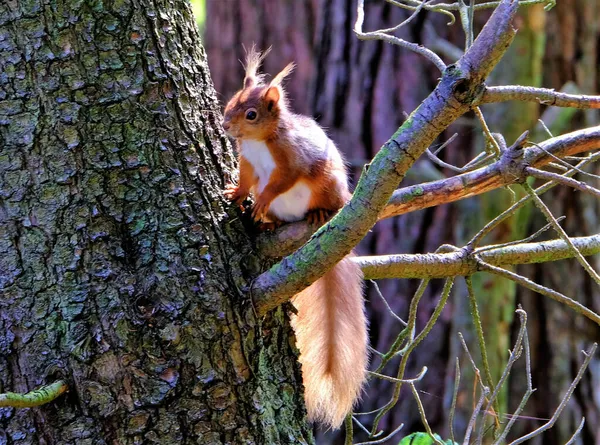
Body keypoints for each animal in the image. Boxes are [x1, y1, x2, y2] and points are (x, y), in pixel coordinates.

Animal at [223, 47, 368, 426]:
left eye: (252, 114)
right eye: (230, 102)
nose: (225, 125)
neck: (259, 142)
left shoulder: (291, 159)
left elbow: (280, 182)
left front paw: (259, 200)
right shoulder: (247, 162)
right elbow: (246, 178)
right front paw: (236, 193)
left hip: (326, 184)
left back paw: (317, 214)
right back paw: (268, 225)